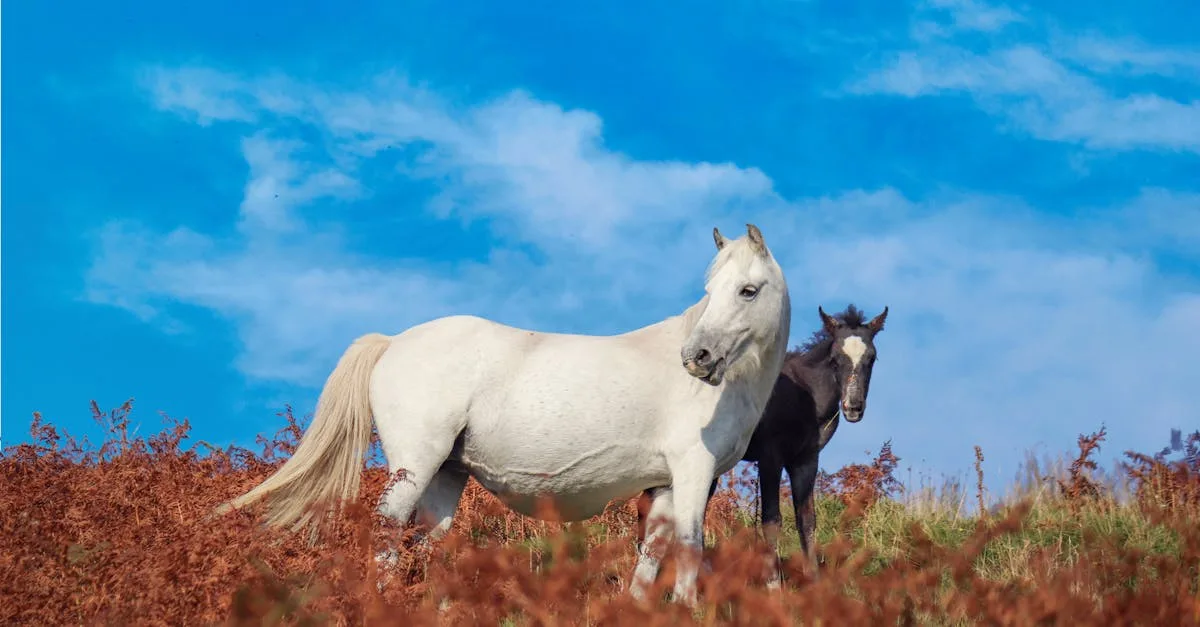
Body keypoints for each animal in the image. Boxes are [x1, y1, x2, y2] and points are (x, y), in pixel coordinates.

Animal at [214, 223, 793, 607]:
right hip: (414, 467)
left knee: (430, 543)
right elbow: (691, 547)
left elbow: (653, 551)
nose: (696, 358)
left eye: (747, 290)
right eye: (709, 292)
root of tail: (393, 341)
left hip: (446, 475)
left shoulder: (667, 484)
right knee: (387, 536)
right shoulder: (693, 472)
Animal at [635, 303, 888, 587]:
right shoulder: (770, 457)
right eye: (835, 359)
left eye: (872, 358)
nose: (853, 407)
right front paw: (774, 585)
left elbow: (806, 520)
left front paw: (814, 582)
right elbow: (771, 519)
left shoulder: (805, 460)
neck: (806, 398)